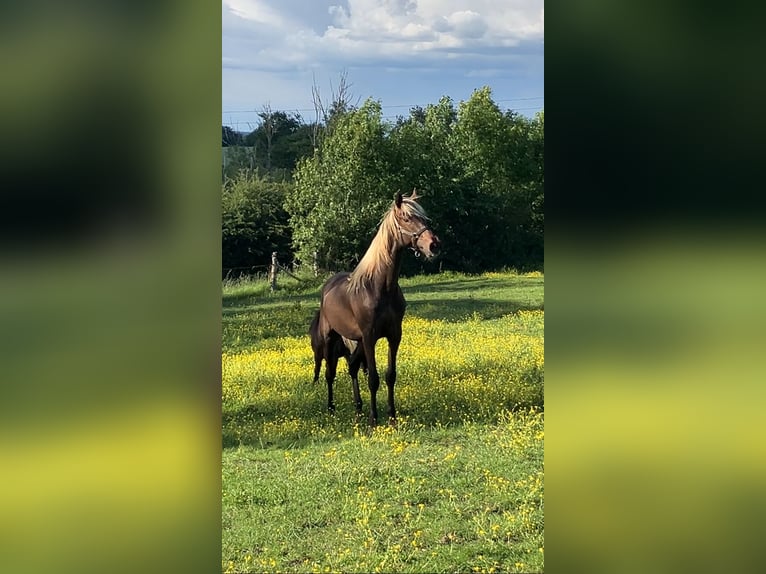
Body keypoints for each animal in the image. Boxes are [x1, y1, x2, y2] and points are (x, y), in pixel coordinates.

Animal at [314, 190, 440, 426]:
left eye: (424, 218)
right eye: (406, 218)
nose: (434, 245)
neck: (380, 287)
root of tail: (328, 286)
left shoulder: (394, 335)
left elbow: (390, 375)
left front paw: (392, 416)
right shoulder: (370, 336)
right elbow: (373, 378)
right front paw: (374, 419)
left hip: (357, 341)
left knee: (352, 367)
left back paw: (358, 408)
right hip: (332, 337)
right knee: (329, 373)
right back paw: (331, 409)